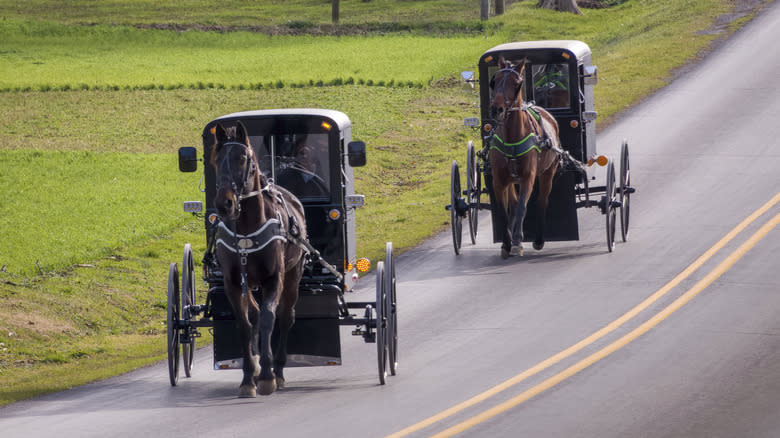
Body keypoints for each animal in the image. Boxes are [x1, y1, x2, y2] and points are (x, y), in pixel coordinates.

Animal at [210, 120, 308, 396]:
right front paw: (248, 378)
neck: (245, 228)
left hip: (293, 275)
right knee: (254, 315)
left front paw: (267, 375)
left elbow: (268, 319)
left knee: (285, 316)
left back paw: (279, 370)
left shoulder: (274, 279)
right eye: (216, 159)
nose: (225, 203)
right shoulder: (233, 283)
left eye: (243, 158)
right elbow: (245, 324)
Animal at [488, 56, 560, 258]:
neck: (511, 138)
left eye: (516, 83)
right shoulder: (499, 180)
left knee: (542, 200)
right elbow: (504, 211)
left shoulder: (529, 177)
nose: (497, 109)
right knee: (513, 203)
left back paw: (538, 240)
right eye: (495, 81)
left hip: (548, 172)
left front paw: (517, 242)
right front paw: (506, 243)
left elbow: (522, 208)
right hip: (512, 180)